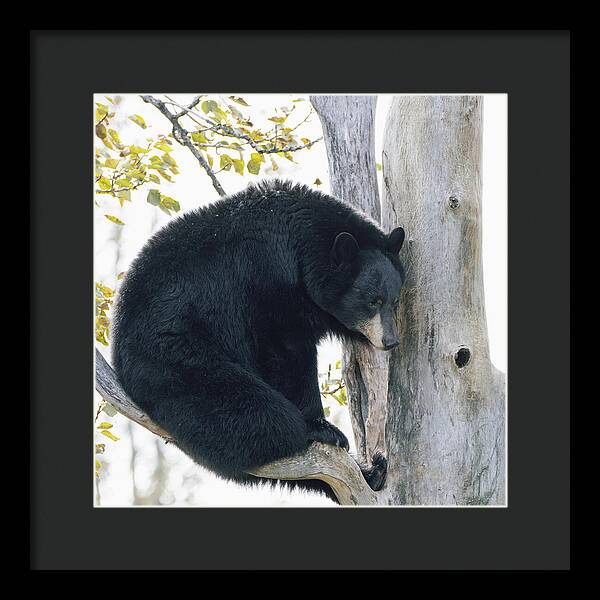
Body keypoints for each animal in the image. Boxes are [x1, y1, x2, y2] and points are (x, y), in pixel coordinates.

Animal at [112, 180, 406, 504]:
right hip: (176, 357)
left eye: (394, 301)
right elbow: (285, 352)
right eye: (373, 301)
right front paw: (321, 425)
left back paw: (372, 472)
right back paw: (305, 433)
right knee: (255, 413)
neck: (300, 247)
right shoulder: (266, 280)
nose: (390, 341)